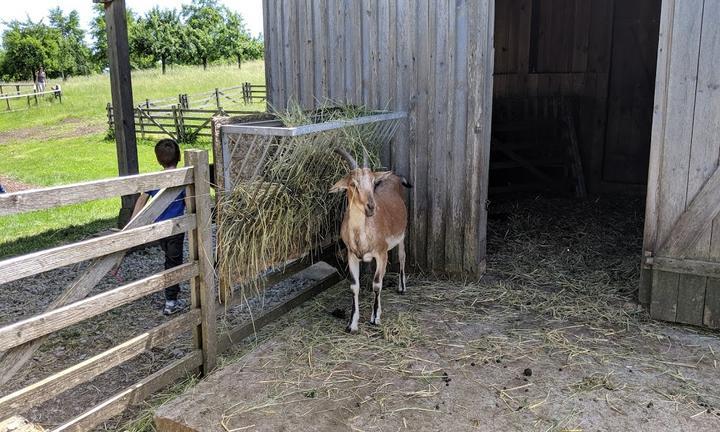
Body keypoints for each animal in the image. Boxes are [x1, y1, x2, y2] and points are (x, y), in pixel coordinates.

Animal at [330, 147, 410, 332]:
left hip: (402, 234)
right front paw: (352, 324)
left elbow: (377, 284)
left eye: (373, 182)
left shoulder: (381, 254)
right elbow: (354, 286)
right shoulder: (351, 255)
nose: (371, 207)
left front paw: (375, 318)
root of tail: (396, 177)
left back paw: (401, 288)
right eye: (353, 183)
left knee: (402, 257)